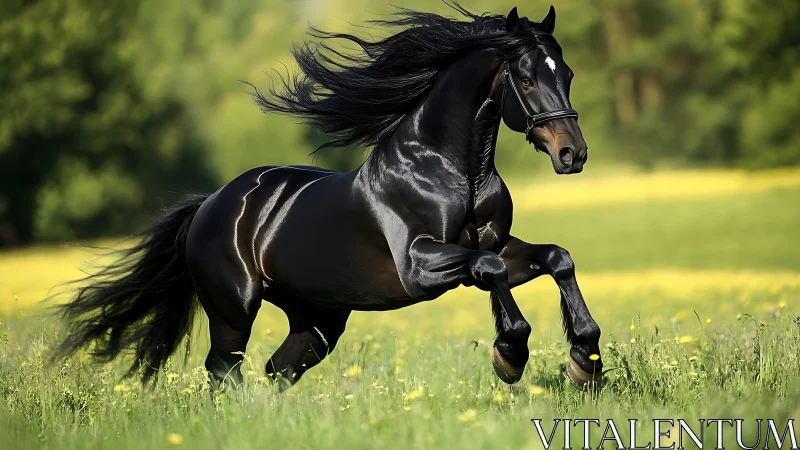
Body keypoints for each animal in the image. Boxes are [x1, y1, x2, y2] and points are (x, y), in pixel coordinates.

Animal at [54, 4, 604, 391]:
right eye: (527, 77)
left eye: (568, 74)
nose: (572, 153)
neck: (451, 170)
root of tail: (210, 204)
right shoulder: (420, 265)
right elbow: (490, 273)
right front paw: (510, 355)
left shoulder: (496, 245)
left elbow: (557, 258)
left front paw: (585, 360)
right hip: (233, 308)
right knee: (224, 370)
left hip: (317, 319)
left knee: (277, 368)